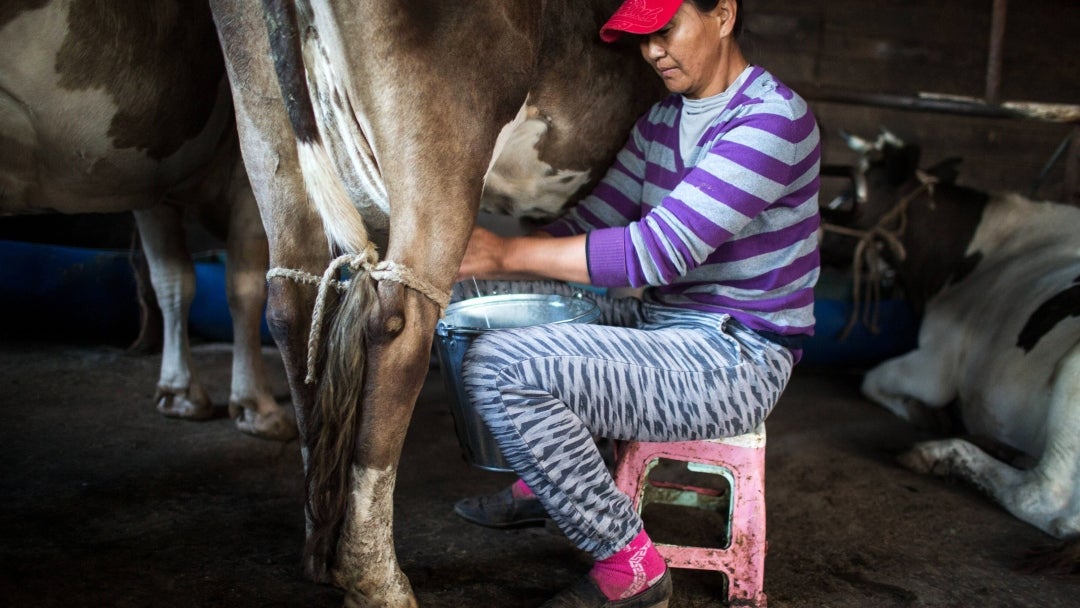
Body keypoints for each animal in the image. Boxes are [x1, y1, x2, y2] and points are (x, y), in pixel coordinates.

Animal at [0, 0, 295, 440]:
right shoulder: (250, 172)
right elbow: (245, 289)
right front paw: (256, 406)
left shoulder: (155, 187)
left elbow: (172, 282)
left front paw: (180, 394)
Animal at [208, 1, 665, 604]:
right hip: (438, 144)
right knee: (398, 330)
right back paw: (374, 577)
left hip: (264, 130)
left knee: (291, 306)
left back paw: (320, 536)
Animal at [825, 130, 1080, 570]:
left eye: (855, 192)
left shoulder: (934, 365)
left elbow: (871, 380)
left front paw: (925, 415)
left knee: (1044, 499)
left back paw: (936, 451)